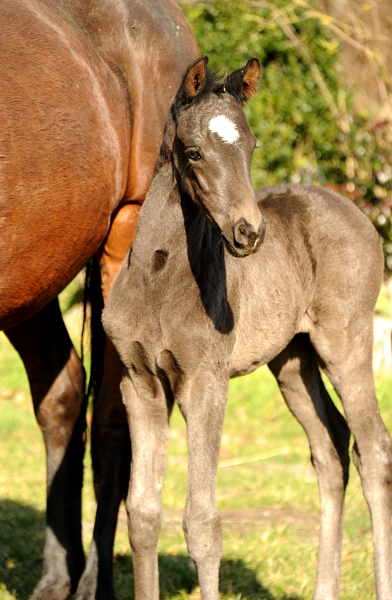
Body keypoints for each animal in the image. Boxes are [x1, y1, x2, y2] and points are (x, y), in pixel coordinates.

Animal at [103, 57, 392, 600]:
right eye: (194, 151)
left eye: (252, 146)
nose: (249, 232)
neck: (156, 278)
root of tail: (357, 213)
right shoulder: (141, 384)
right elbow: (143, 514)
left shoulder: (205, 384)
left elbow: (202, 522)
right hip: (293, 360)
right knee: (331, 449)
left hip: (347, 344)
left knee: (374, 451)